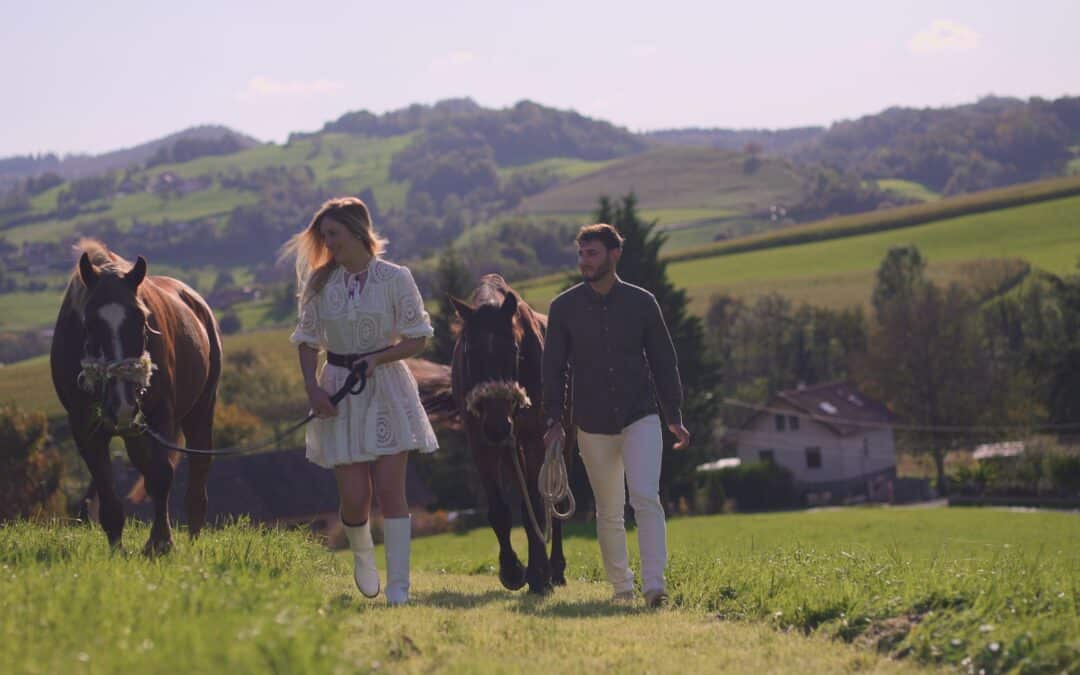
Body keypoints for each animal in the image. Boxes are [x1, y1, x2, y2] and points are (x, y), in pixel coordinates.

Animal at [51, 240, 221, 552]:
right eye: (88, 324)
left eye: (142, 319)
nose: (123, 406)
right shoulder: (83, 427)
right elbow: (106, 486)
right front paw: (117, 546)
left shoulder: (160, 416)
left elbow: (161, 475)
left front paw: (161, 542)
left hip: (200, 410)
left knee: (197, 470)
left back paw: (193, 535)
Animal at [451, 274, 570, 596]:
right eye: (469, 351)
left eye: (514, 349)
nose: (497, 425)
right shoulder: (480, 441)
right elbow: (500, 511)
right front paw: (513, 570)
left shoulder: (534, 438)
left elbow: (537, 507)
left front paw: (540, 574)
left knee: (555, 504)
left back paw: (555, 569)